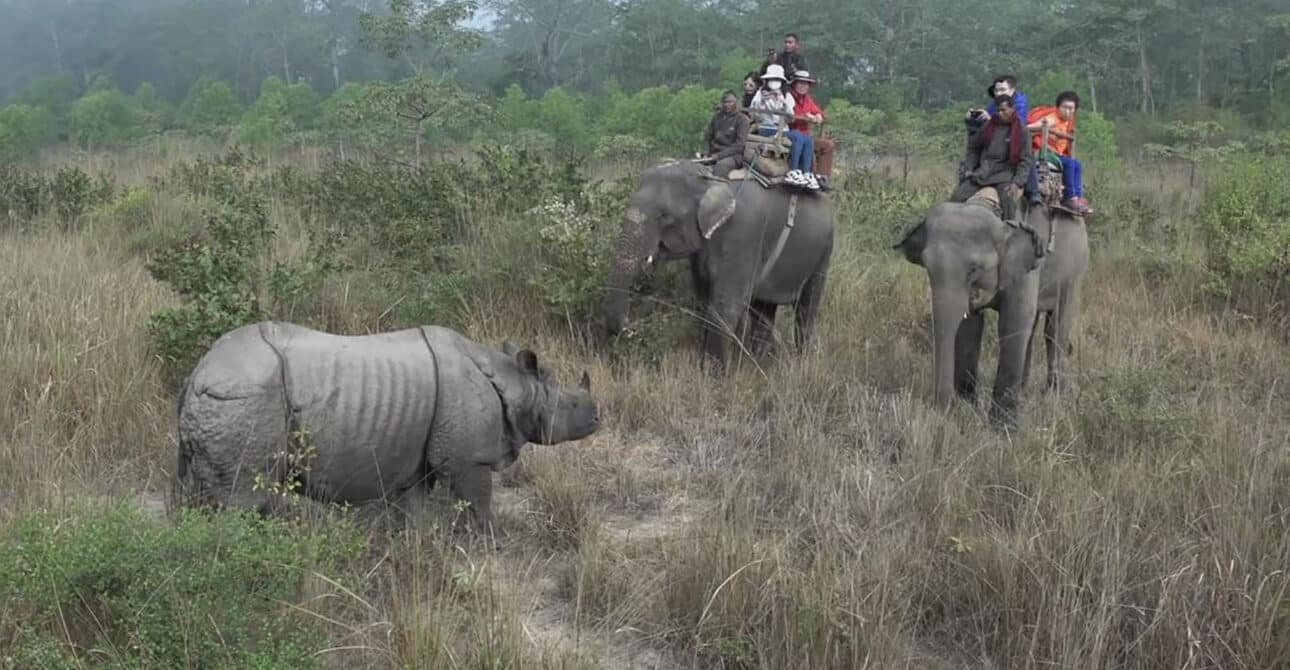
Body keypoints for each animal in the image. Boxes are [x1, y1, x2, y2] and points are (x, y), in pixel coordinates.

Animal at [174, 322, 601, 531]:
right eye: (572, 404)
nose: (599, 418)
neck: (515, 385)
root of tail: (196, 374)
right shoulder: (470, 458)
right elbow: (478, 502)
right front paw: (491, 542)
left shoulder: (419, 458)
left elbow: (417, 505)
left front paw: (420, 543)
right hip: (243, 396)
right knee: (243, 500)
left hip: (227, 397)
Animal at [598, 161, 830, 371]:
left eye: (665, 216)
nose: (630, 326)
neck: (709, 178)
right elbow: (704, 300)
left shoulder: (743, 236)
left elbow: (724, 306)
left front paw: (716, 377)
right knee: (764, 309)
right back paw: (759, 364)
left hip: (824, 252)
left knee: (806, 308)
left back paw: (801, 360)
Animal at [897, 194, 1088, 426]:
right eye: (926, 266)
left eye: (974, 269)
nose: (941, 411)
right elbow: (970, 326)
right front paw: (968, 408)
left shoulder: (1028, 264)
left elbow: (1013, 322)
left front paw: (1003, 426)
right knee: (1033, 330)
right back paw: (1024, 392)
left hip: (1076, 267)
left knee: (1056, 327)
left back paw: (1054, 396)